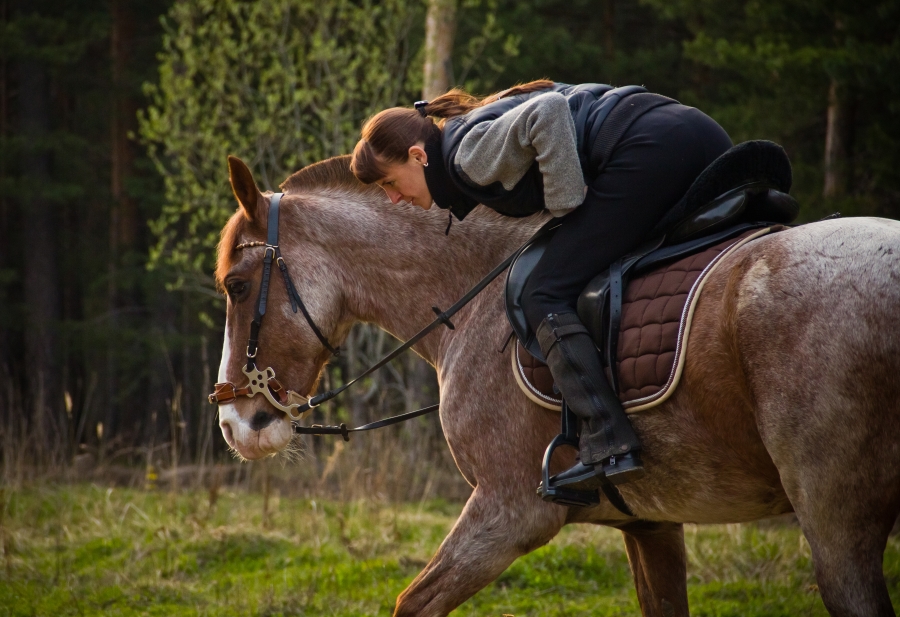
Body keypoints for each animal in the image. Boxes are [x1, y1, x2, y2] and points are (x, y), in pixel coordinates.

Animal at [213, 154, 900, 616]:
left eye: (237, 287)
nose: (234, 425)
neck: (475, 296)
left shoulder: (508, 512)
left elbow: (414, 602)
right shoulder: (651, 526)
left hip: (834, 522)